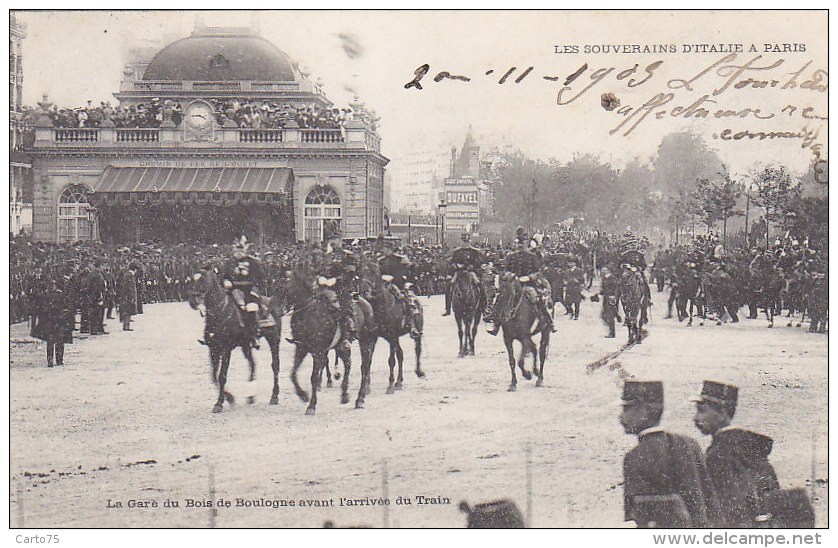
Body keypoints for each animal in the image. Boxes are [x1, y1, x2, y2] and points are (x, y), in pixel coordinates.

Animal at [189, 268, 282, 414]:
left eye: (203, 279)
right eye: (192, 279)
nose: (192, 301)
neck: (220, 311)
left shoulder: (226, 349)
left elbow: (222, 376)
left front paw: (219, 403)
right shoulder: (213, 349)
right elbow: (214, 375)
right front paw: (229, 398)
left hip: (274, 340)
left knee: (275, 365)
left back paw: (274, 397)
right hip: (246, 346)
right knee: (253, 364)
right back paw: (251, 397)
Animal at [360, 260, 426, 394]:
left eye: (373, 272)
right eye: (361, 273)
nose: (364, 291)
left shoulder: (392, 336)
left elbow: (391, 360)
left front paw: (390, 385)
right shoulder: (374, 336)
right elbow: (369, 359)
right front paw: (367, 386)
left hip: (416, 331)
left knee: (417, 349)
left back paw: (418, 371)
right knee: (400, 354)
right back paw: (399, 382)